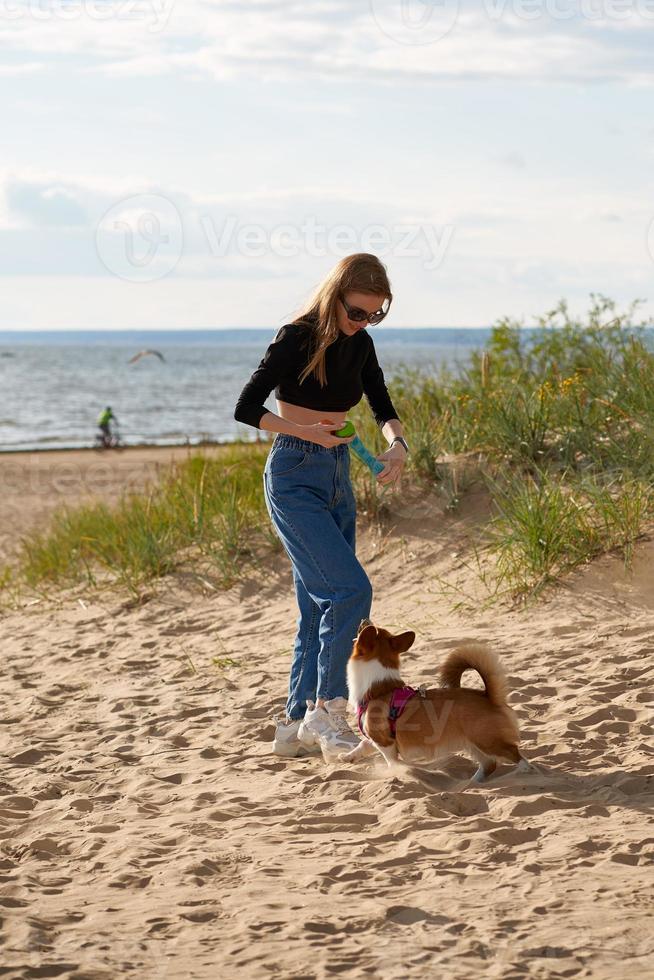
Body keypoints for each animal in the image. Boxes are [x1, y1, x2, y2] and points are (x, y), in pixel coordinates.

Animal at [346, 620, 532, 780]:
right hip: (473, 744)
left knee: (516, 756)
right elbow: (364, 744)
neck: (378, 689)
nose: (364, 620)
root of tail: (489, 697)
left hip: (487, 741)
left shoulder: (385, 742)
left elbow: (391, 761)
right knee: (489, 765)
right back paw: (469, 785)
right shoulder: (376, 739)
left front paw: (399, 772)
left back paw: (522, 774)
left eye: (365, 628)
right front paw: (347, 757)